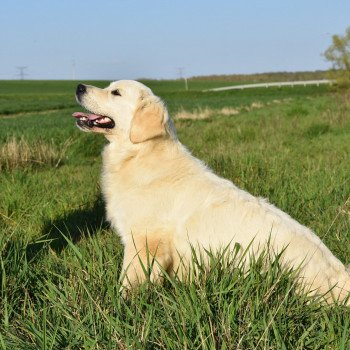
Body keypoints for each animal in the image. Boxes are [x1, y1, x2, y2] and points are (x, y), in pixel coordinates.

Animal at [73, 79, 350, 304]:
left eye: (115, 92)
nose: (79, 87)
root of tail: (339, 273)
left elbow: (130, 280)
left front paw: (121, 305)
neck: (141, 154)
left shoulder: (145, 241)